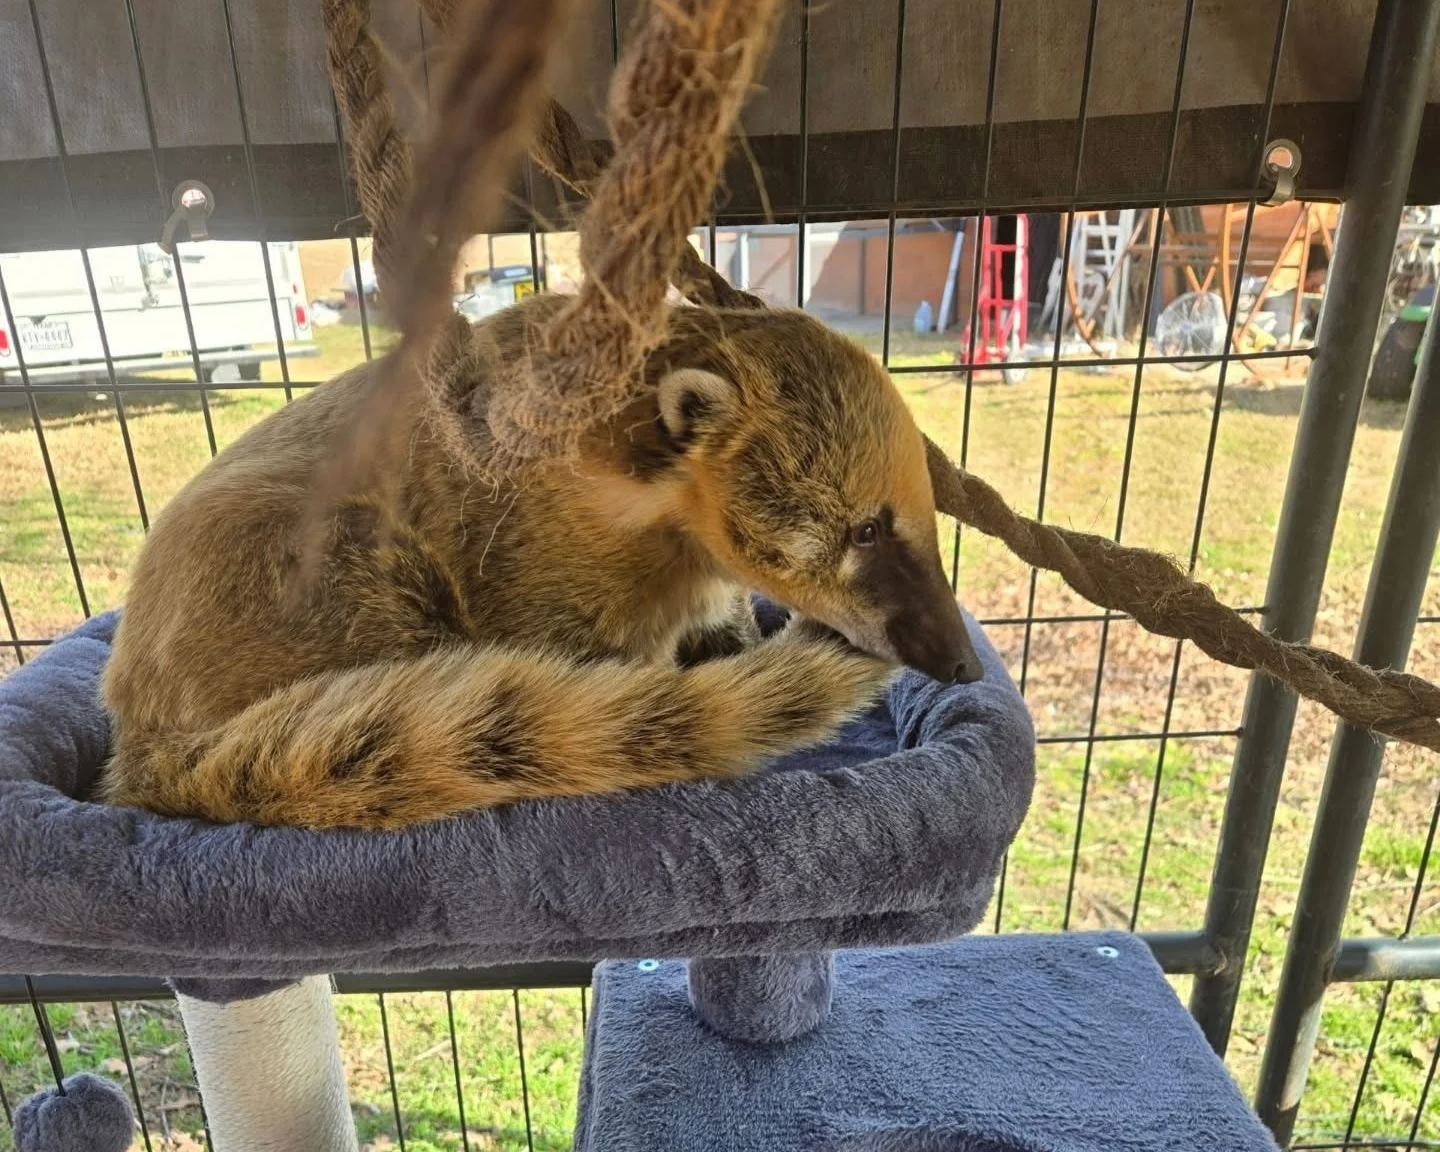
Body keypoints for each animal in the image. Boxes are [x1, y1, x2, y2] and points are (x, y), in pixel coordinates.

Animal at [100, 297, 983, 829]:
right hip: (315, 571)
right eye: (864, 531)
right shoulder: (531, 545)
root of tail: (142, 728)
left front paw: (730, 640)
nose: (967, 664)